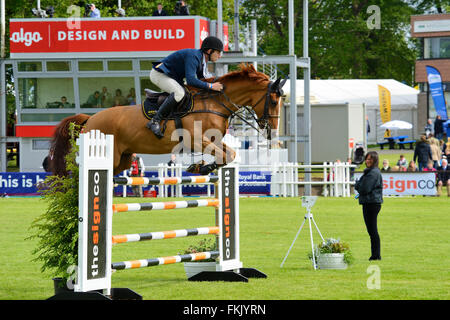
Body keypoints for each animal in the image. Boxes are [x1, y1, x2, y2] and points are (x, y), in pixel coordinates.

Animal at [48, 63, 284, 176]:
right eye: (273, 101)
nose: (272, 130)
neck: (215, 103)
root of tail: (90, 120)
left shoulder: (213, 141)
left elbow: (230, 155)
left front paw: (200, 167)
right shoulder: (195, 141)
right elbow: (227, 155)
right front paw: (201, 168)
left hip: (122, 159)